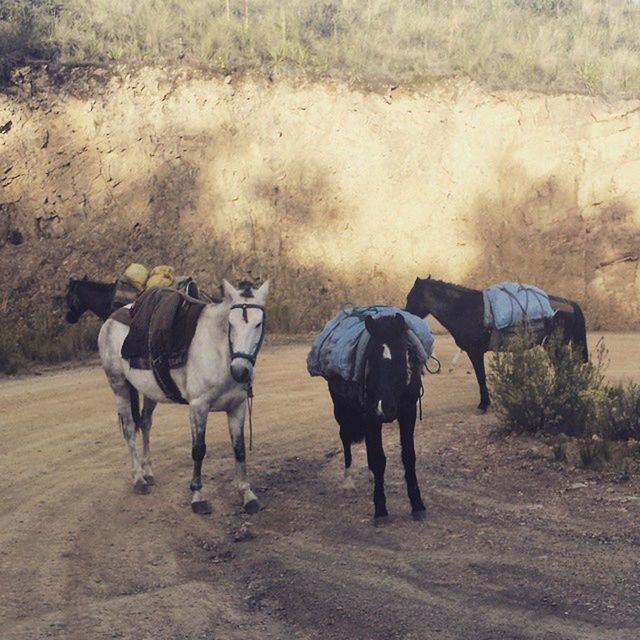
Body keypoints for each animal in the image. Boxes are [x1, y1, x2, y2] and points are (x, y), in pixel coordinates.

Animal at [99, 280, 268, 516]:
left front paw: (247, 495)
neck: (220, 353)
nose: (240, 371)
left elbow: (239, 449)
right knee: (130, 429)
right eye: (231, 324)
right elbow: (198, 451)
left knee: (146, 422)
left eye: (258, 324)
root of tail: (110, 320)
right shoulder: (198, 407)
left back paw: (148, 471)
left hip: (150, 391)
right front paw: (197, 497)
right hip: (119, 386)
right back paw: (139, 479)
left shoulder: (237, 407)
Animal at [408, 278, 588, 412]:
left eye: (410, 297)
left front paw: (483, 404)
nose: (404, 316)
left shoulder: (475, 352)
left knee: (562, 369)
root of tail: (568, 303)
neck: (464, 309)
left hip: (554, 346)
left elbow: (481, 376)